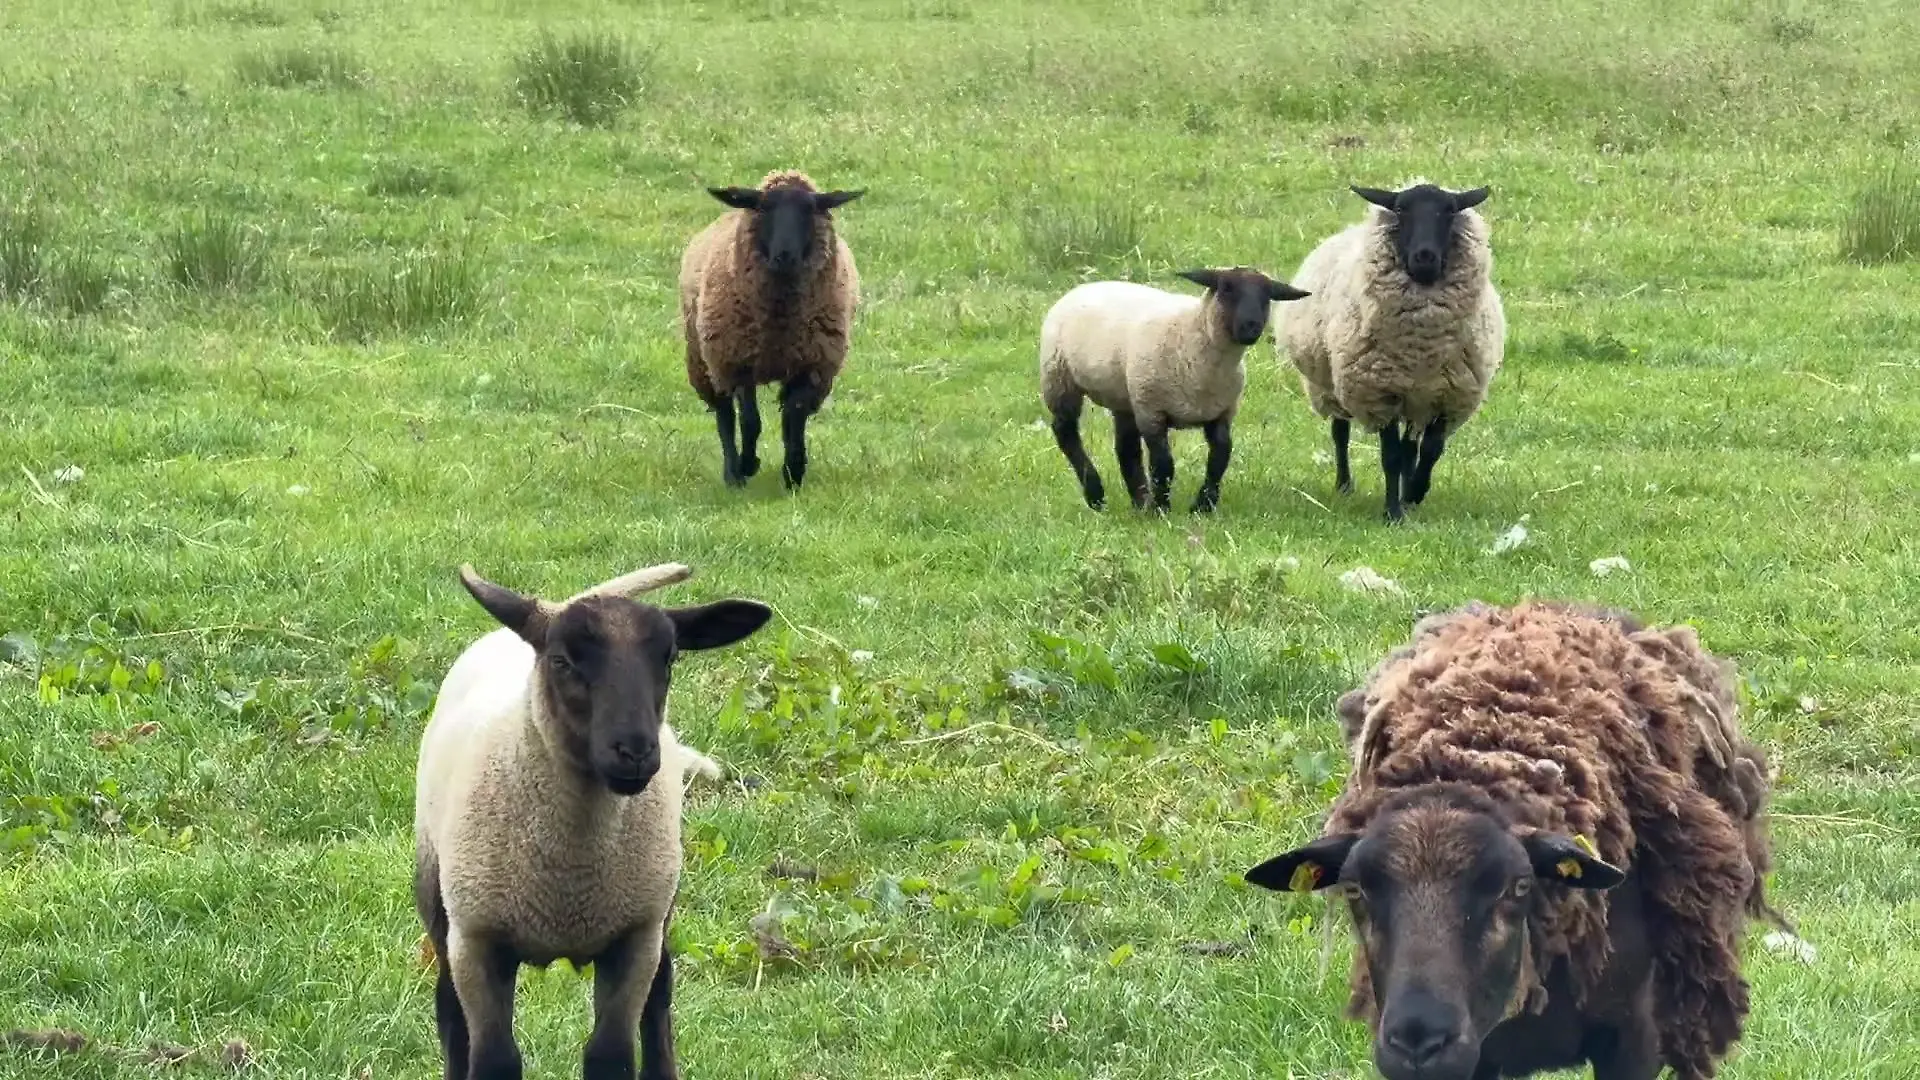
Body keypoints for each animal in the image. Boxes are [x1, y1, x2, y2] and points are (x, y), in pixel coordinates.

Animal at [414, 560, 772, 1080]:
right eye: (562, 660)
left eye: (669, 659)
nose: (637, 752)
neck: (571, 876)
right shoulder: (477, 940)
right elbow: (495, 1057)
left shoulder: (634, 938)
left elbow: (611, 1054)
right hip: (438, 903)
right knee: (449, 1013)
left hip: (659, 909)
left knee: (660, 1000)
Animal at [679, 169, 863, 491]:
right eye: (764, 208)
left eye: (810, 210)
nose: (785, 255)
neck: (780, 324)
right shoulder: (739, 361)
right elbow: (749, 420)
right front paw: (747, 464)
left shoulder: (811, 364)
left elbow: (794, 414)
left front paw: (794, 471)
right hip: (706, 358)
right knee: (724, 414)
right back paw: (733, 474)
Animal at [1039, 267, 1310, 513]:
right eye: (1226, 289)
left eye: (1267, 296)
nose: (1251, 326)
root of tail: (1085, 285)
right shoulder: (1152, 411)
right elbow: (1163, 464)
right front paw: (1162, 507)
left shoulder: (1221, 412)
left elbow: (1220, 457)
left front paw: (1203, 505)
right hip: (1060, 378)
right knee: (1065, 432)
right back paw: (1097, 494)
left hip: (1125, 396)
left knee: (1126, 448)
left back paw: (1139, 501)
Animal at [1277, 179, 1505, 522]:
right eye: (1400, 210)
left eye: (1449, 211)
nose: (1425, 256)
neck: (1421, 347)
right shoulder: (1381, 393)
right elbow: (1391, 456)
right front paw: (1393, 512)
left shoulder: (1447, 394)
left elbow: (1430, 451)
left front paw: (1414, 493)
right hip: (1331, 385)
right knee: (1340, 432)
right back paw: (1345, 485)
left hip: (1416, 399)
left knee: (1411, 448)